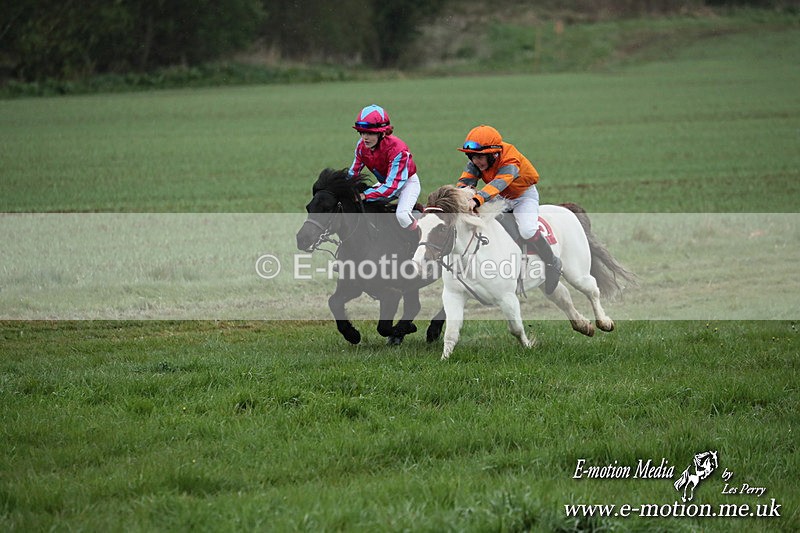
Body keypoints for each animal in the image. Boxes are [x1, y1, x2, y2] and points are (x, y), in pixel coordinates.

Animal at [296, 168, 444, 345]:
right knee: (414, 306)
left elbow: (383, 327)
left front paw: (405, 329)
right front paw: (352, 334)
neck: (366, 244)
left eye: (327, 208)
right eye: (309, 207)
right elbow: (334, 303)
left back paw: (432, 331)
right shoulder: (352, 286)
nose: (302, 239)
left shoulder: (391, 292)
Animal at [412, 185, 636, 360]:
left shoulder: (507, 297)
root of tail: (566, 209)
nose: (418, 263)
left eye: (441, 229)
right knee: (562, 296)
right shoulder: (454, 296)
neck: (473, 255)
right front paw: (444, 358)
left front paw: (529, 346)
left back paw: (604, 323)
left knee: (592, 289)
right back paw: (583, 326)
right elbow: (451, 332)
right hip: (547, 281)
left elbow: (516, 328)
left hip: (576, 272)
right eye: (419, 228)